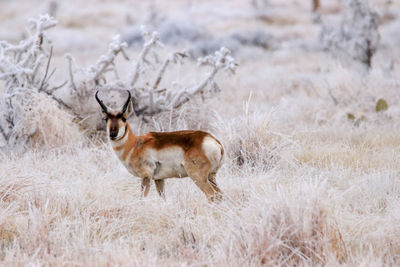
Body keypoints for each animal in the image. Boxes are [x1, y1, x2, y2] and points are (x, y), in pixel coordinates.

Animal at [95, 91, 223, 202]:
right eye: (106, 118)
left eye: (123, 118)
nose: (113, 134)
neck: (135, 144)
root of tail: (212, 140)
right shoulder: (159, 179)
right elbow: (163, 198)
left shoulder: (146, 176)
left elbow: (142, 198)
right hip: (211, 177)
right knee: (220, 195)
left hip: (198, 177)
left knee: (212, 195)